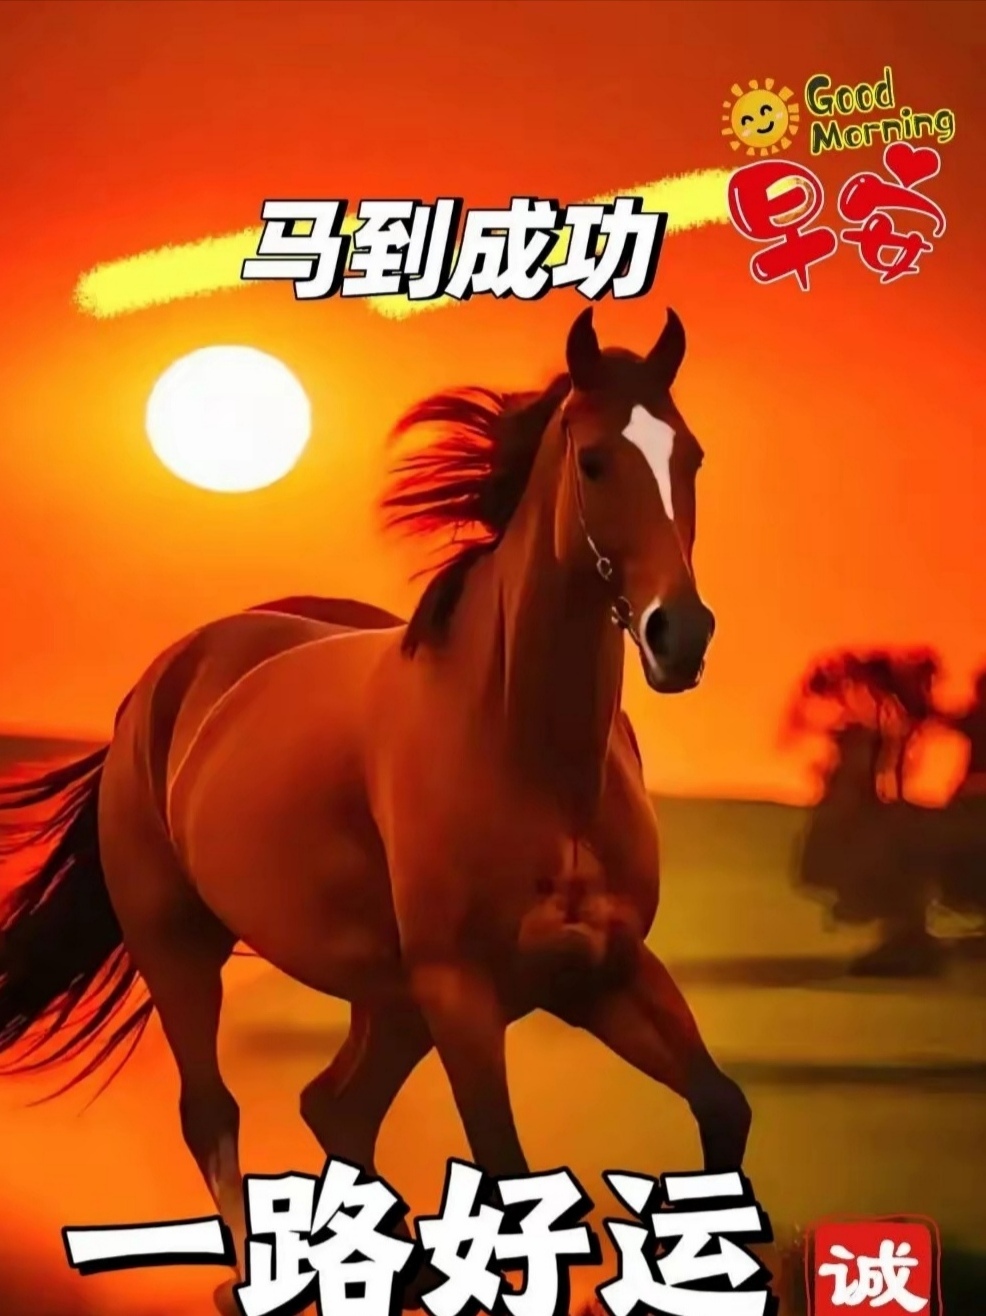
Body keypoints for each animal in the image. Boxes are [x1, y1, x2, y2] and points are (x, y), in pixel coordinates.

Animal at [0, 307, 750, 1304]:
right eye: (594, 460)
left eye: (692, 456)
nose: (681, 636)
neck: (531, 758)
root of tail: (162, 680)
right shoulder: (463, 992)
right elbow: (508, 1178)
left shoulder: (608, 971)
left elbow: (723, 1109)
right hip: (182, 947)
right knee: (215, 1111)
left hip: (387, 1000)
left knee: (336, 1109)